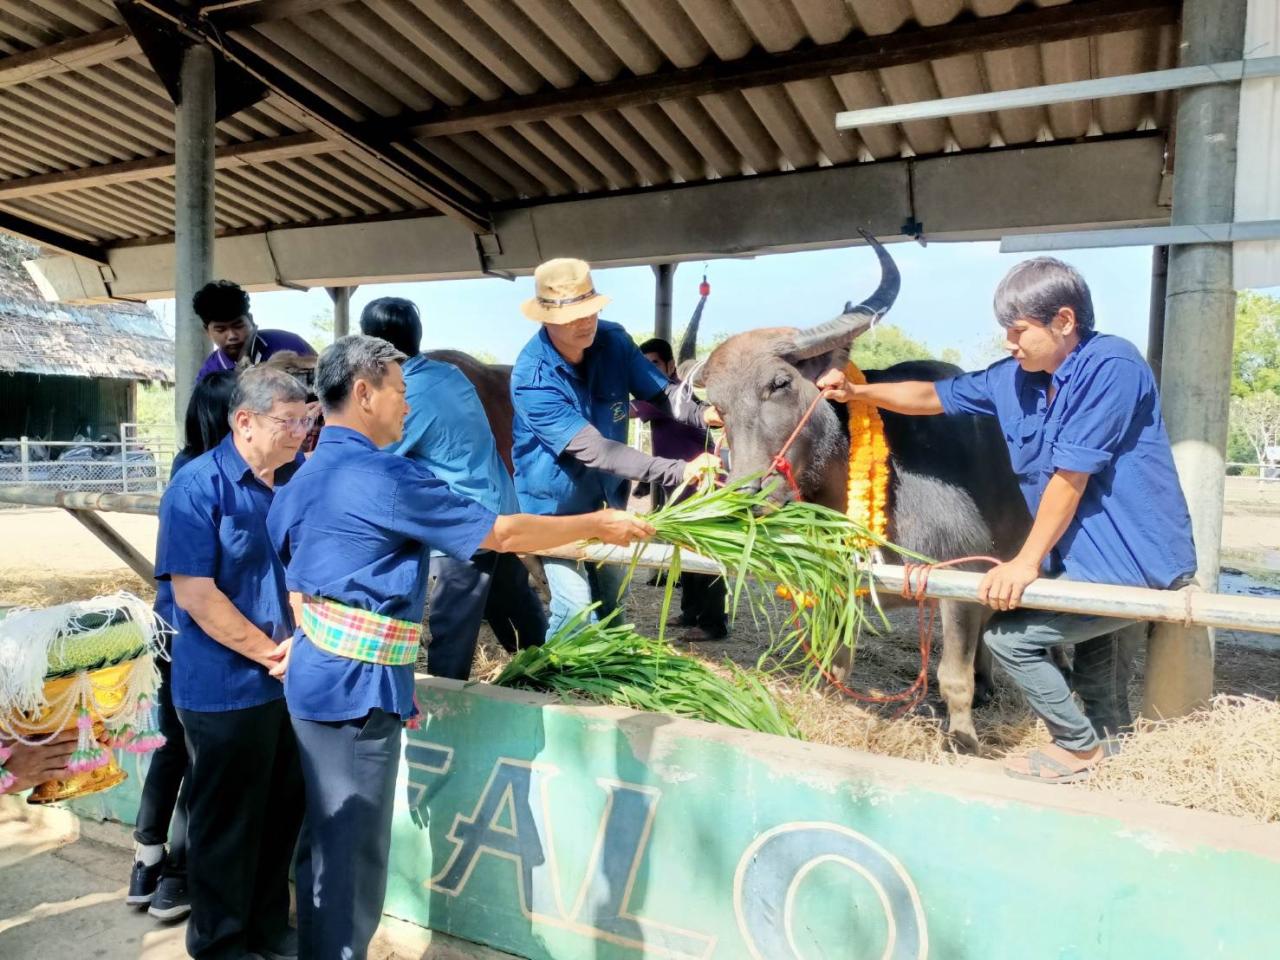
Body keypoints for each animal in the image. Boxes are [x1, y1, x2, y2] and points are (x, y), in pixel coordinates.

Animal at [691, 239, 1029, 752]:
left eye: (779, 383)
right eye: (719, 407)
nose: (748, 493)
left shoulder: (961, 571)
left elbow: (953, 673)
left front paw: (963, 737)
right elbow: (838, 655)